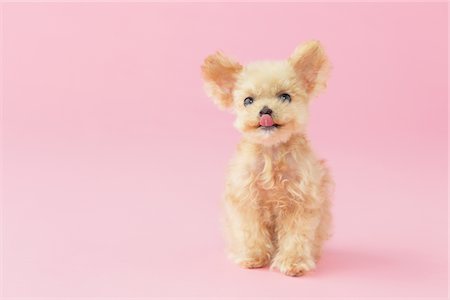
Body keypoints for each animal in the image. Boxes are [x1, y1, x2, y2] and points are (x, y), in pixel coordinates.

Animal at [202, 40, 332, 276]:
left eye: (285, 96)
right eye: (248, 100)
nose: (265, 111)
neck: (272, 152)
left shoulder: (300, 202)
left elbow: (296, 236)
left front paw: (293, 262)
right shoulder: (247, 200)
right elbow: (251, 232)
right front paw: (253, 257)